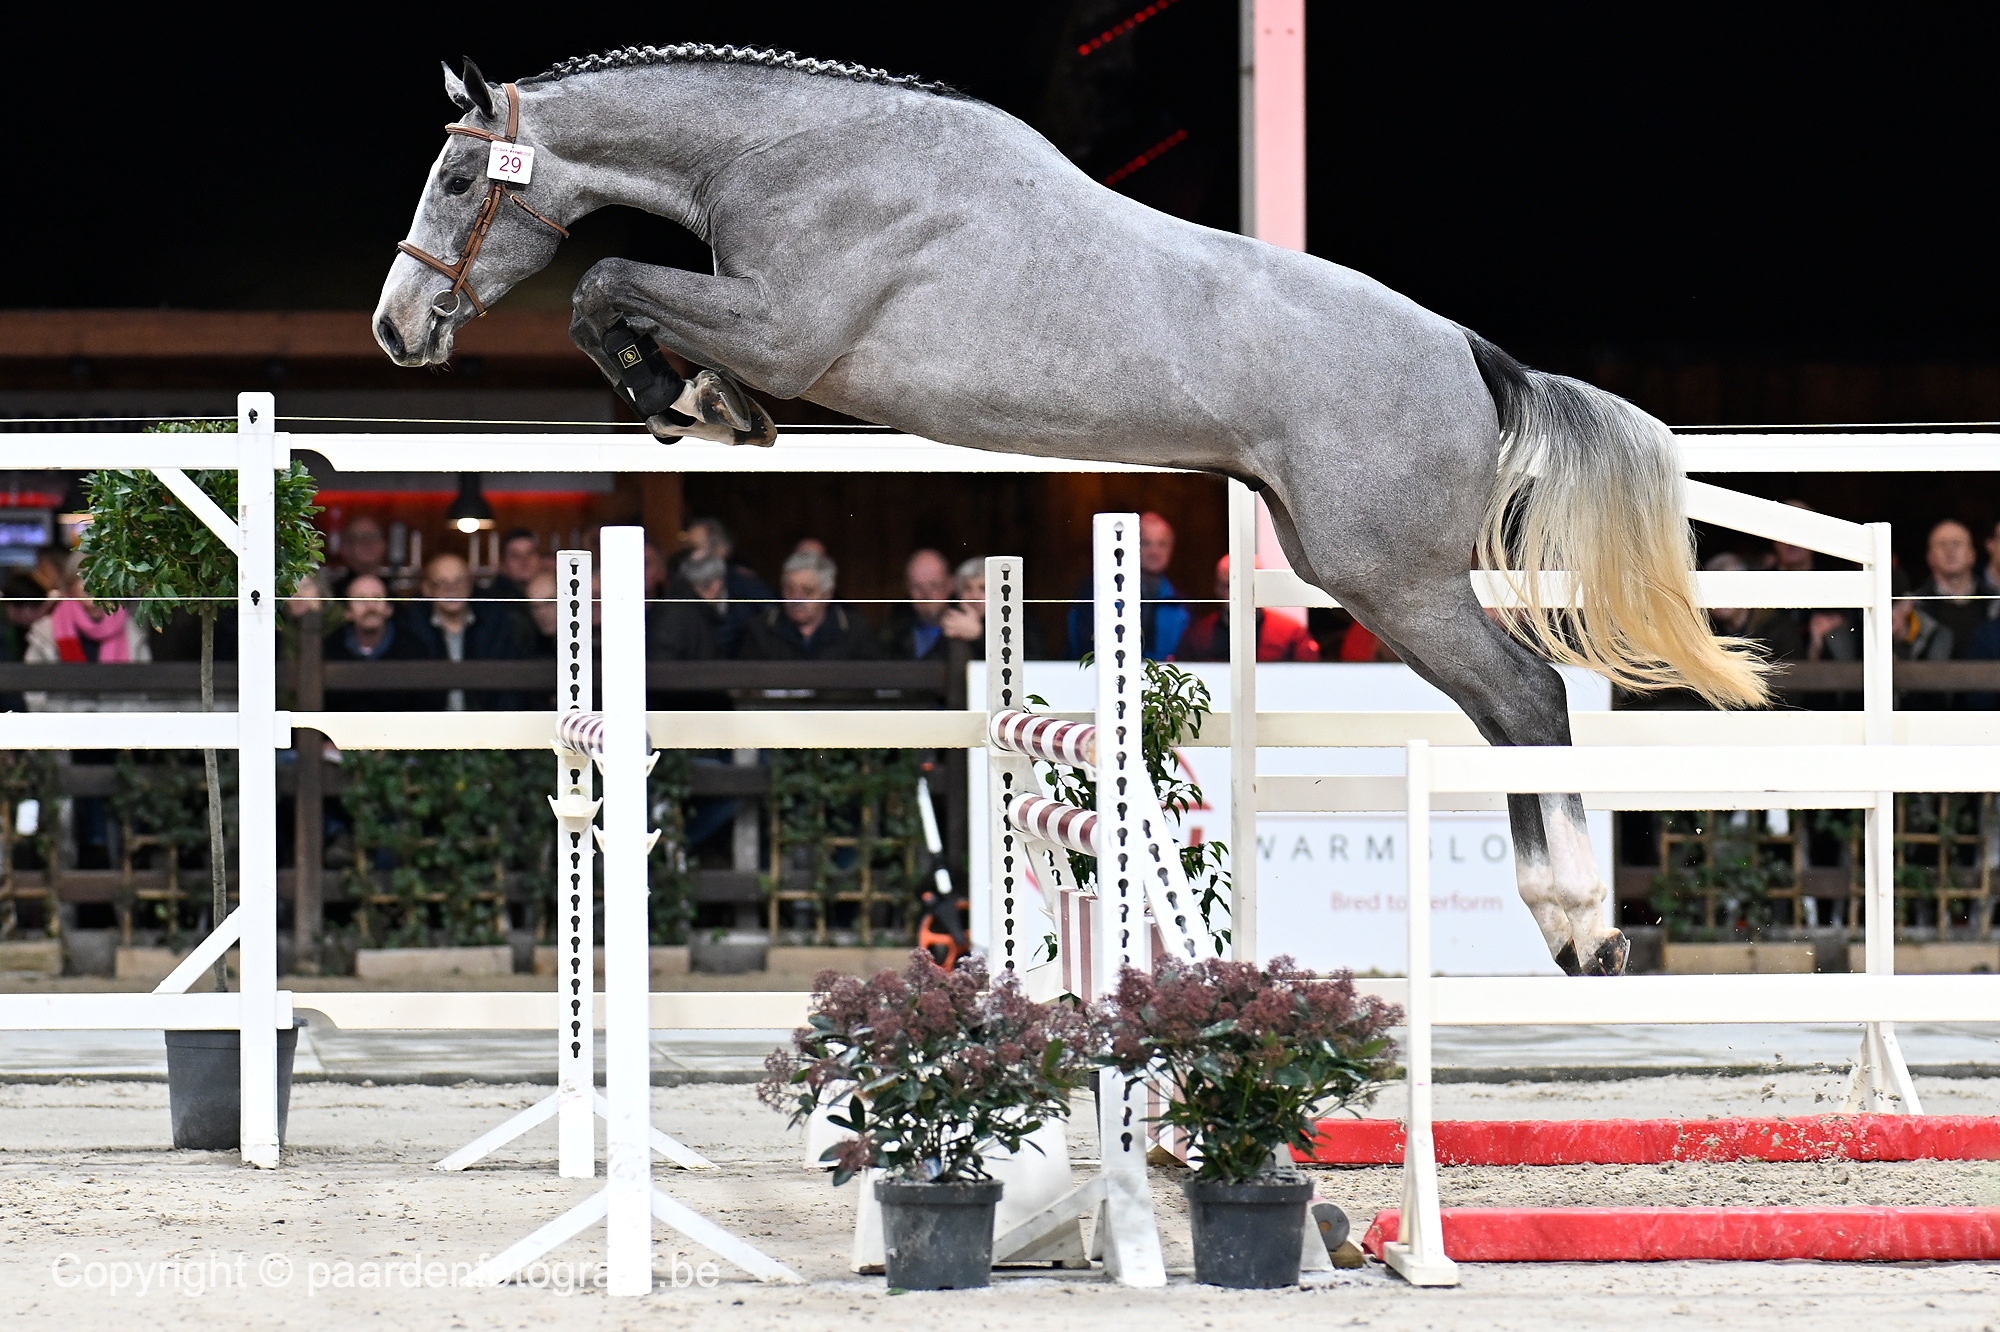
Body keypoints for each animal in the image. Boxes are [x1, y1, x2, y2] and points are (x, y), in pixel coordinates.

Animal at [373, 48, 1769, 977]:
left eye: (458, 177)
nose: (397, 330)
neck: (791, 157)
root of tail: (1471, 355)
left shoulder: (783, 328)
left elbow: (605, 282)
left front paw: (693, 400)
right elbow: (612, 292)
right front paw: (694, 402)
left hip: (1390, 579)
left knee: (1526, 698)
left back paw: (1580, 923)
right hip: (1363, 572)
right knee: (1503, 710)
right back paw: (1569, 925)